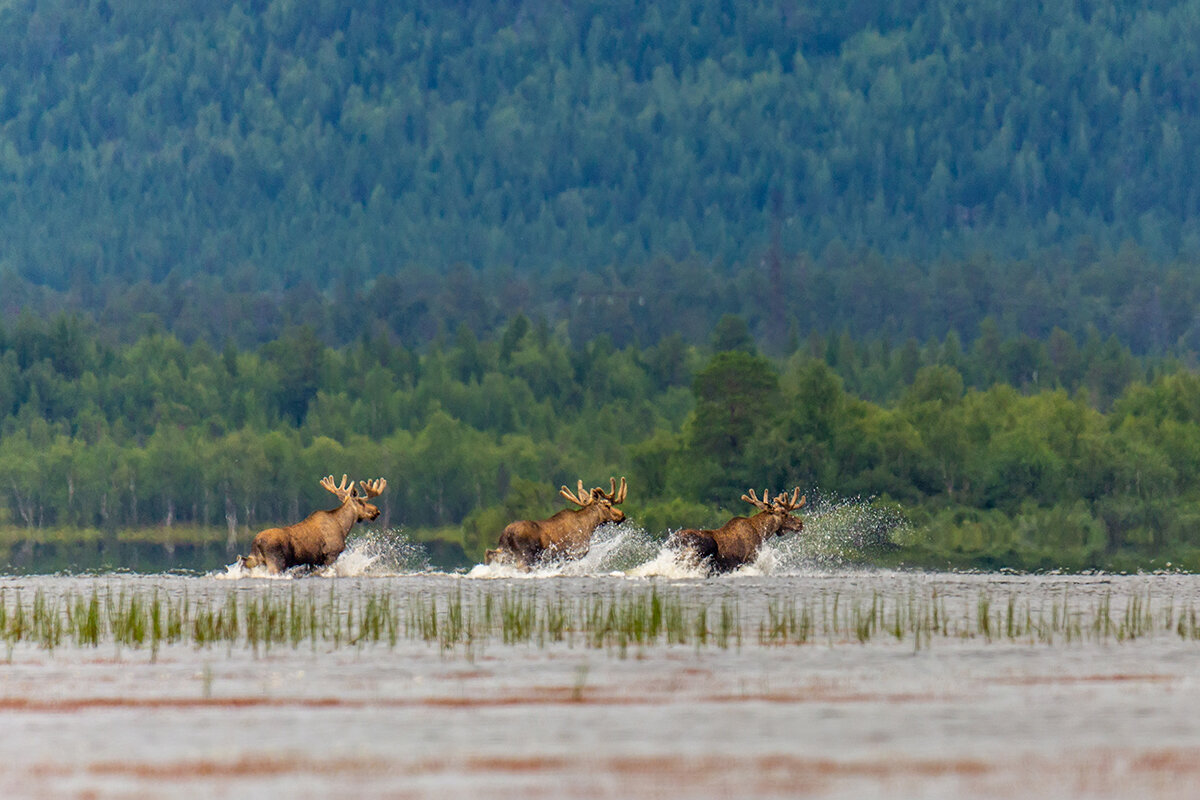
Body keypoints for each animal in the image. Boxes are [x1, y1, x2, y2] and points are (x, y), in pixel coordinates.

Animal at [234, 474, 384, 575]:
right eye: (362, 502)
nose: (376, 511)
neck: (343, 527)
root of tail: (257, 541)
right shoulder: (331, 554)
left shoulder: (313, 561)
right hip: (275, 561)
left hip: (255, 559)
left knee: (242, 561)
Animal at [482, 474, 628, 568]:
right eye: (607, 505)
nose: (622, 515)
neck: (589, 527)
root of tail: (506, 534)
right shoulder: (574, 553)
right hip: (524, 554)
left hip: (505, 551)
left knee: (489, 553)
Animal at [667, 489, 806, 575]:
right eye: (784, 513)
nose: (800, 523)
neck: (762, 533)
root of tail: (674, 541)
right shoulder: (749, 559)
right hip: (701, 549)